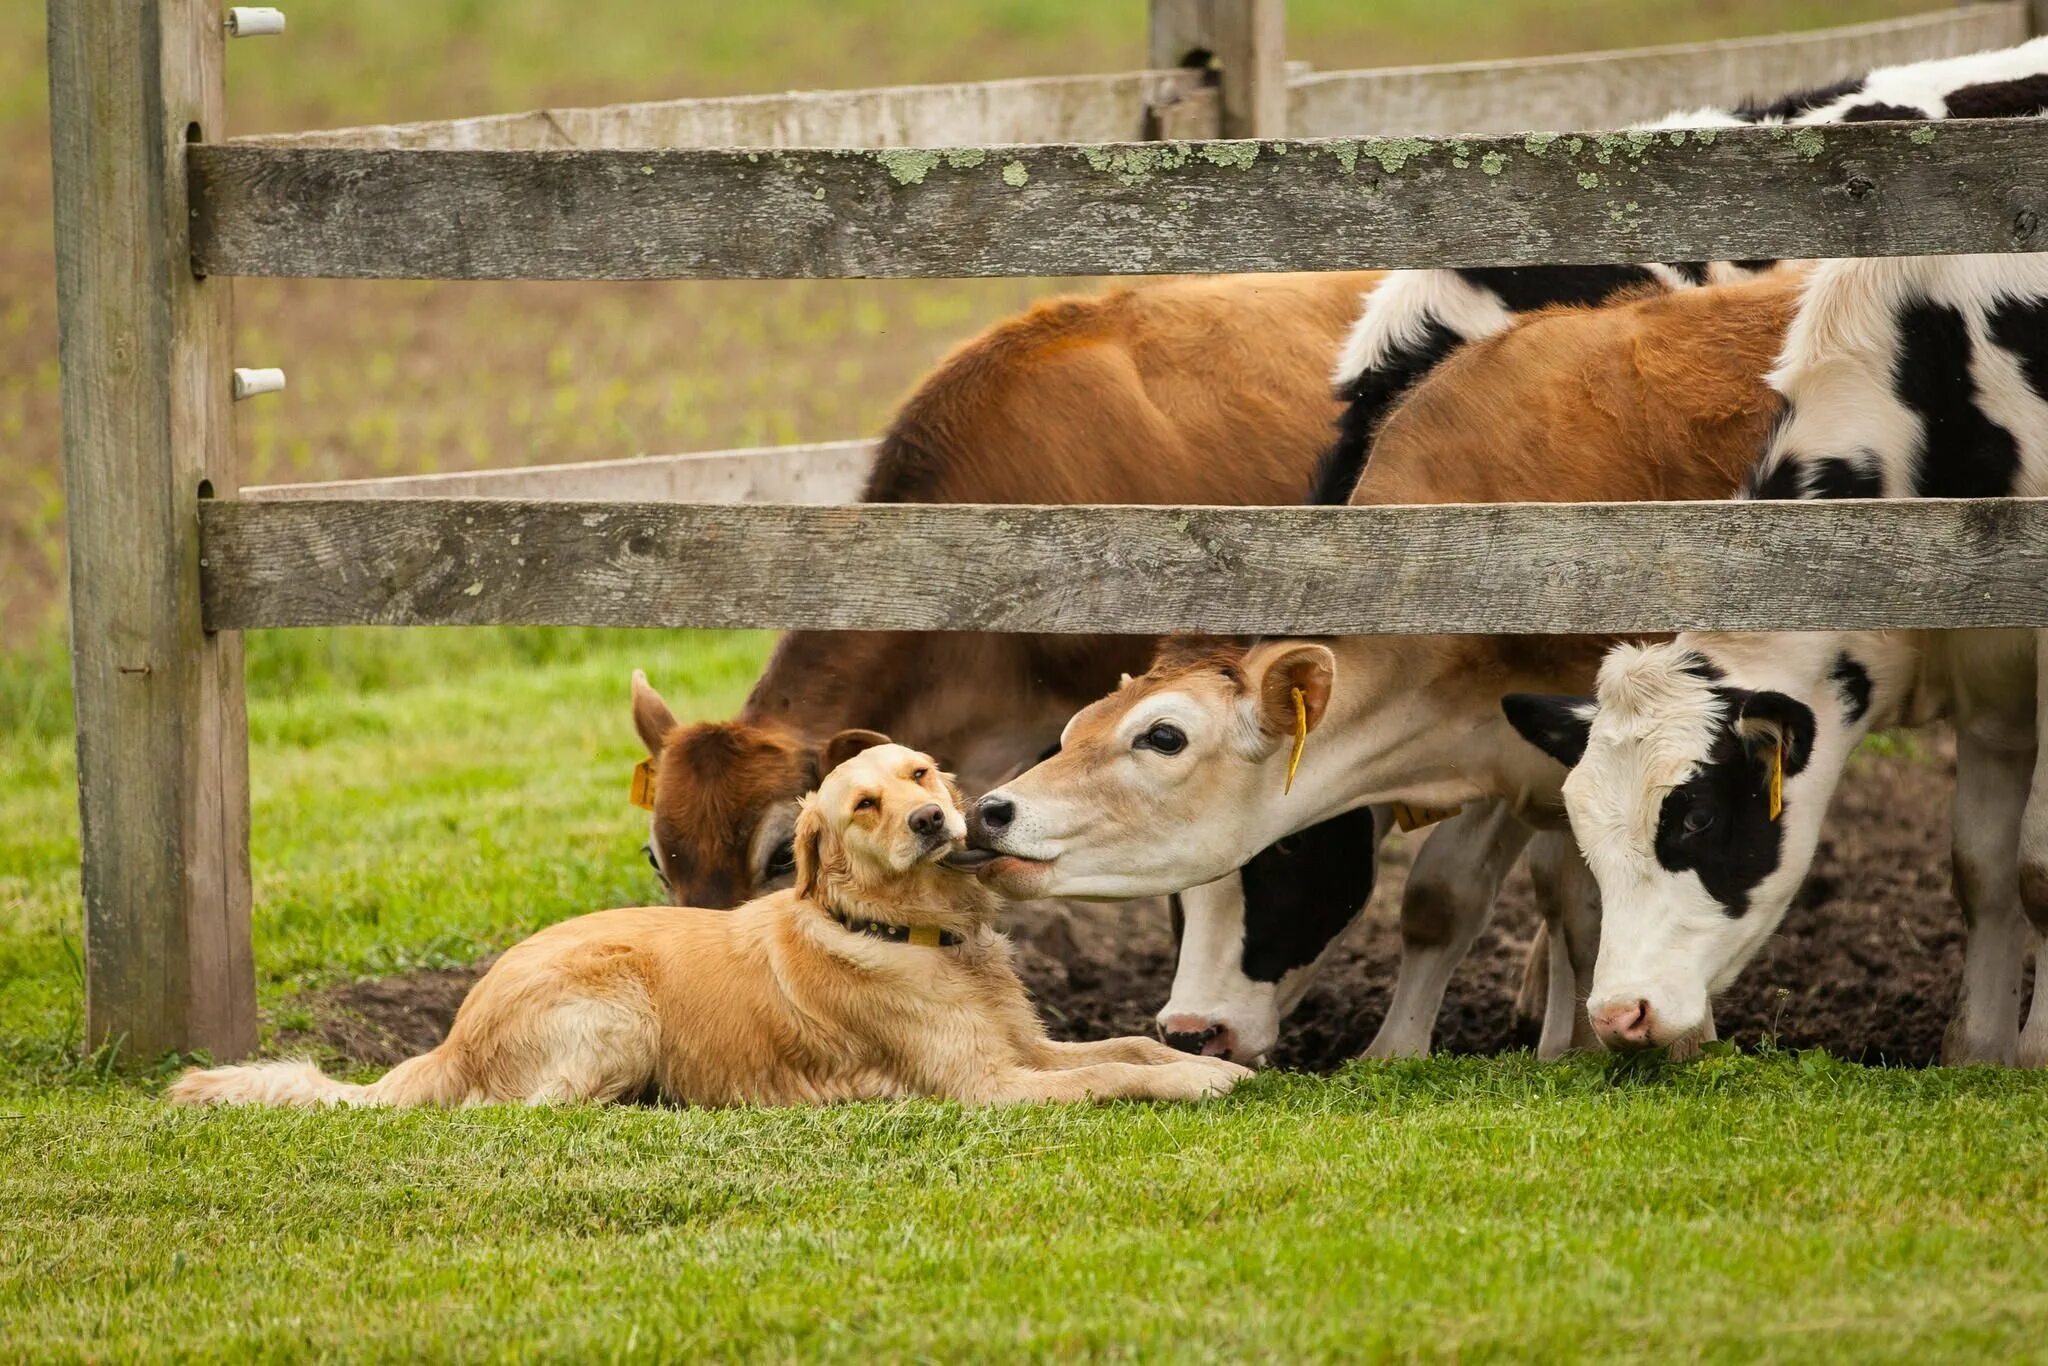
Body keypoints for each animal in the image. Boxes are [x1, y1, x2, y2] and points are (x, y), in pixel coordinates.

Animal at [172, 741, 1245, 1114]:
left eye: (921, 775)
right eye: (865, 805)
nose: (937, 821)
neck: (903, 930)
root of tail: (453, 1036)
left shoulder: (1028, 1045)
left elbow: (1122, 1048)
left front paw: (1208, 1064)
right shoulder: (987, 1086)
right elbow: (1112, 1075)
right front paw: (1202, 1080)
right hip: (616, 1008)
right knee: (523, 1112)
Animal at [1507, 253, 2048, 1064]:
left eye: (1697, 818)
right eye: (1585, 835)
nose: (1618, 1014)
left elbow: (2037, 867)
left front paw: (2037, 1051)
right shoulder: (1991, 675)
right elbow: (1984, 869)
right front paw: (1981, 1056)